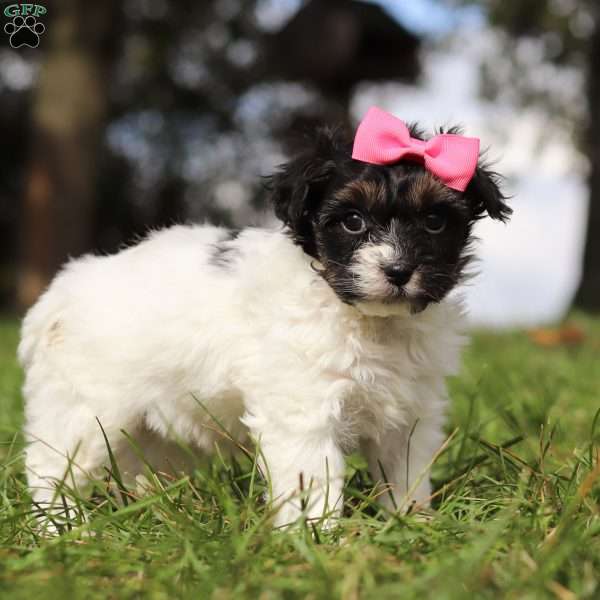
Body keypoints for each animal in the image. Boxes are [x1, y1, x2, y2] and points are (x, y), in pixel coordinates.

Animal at [18, 108, 508, 528]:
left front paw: (412, 526)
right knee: (53, 465)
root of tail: (63, 290)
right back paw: (63, 529)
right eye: (352, 221)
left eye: (434, 222)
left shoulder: (408, 414)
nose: (399, 270)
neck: (367, 319)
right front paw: (319, 540)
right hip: (86, 407)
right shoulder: (304, 408)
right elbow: (314, 478)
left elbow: (405, 474)